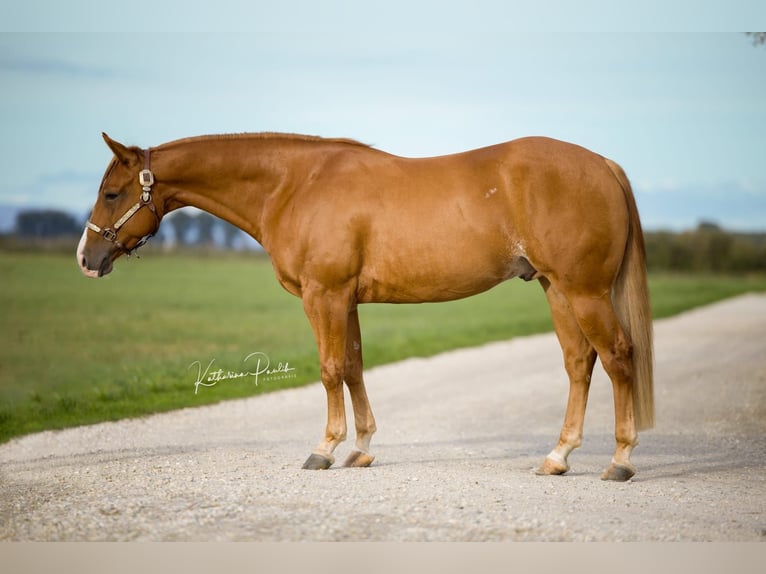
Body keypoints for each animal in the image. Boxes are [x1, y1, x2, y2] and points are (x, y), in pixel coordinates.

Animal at [77, 132, 654, 481]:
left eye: (112, 193)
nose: (87, 258)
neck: (295, 184)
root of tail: (602, 164)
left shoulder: (324, 294)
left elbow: (330, 369)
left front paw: (324, 449)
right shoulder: (345, 299)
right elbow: (353, 366)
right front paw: (361, 448)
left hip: (583, 291)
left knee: (618, 356)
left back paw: (621, 460)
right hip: (555, 288)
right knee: (579, 363)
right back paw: (557, 456)